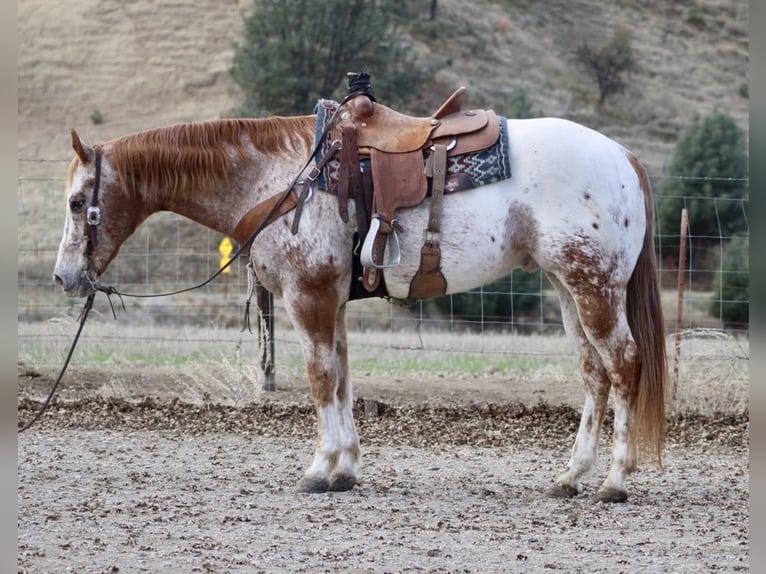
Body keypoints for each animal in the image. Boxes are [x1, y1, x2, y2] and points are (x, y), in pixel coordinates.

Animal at [53, 100, 668, 503]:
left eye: (78, 201)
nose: (64, 277)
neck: (281, 178)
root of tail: (623, 156)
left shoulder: (308, 298)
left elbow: (321, 378)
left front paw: (319, 467)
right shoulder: (333, 302)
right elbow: (344, 379)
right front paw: (345, 468)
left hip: (594, 287)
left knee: (623, 364)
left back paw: (614, 482)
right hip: (568, 289)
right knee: (593, 373)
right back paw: (571, 476)